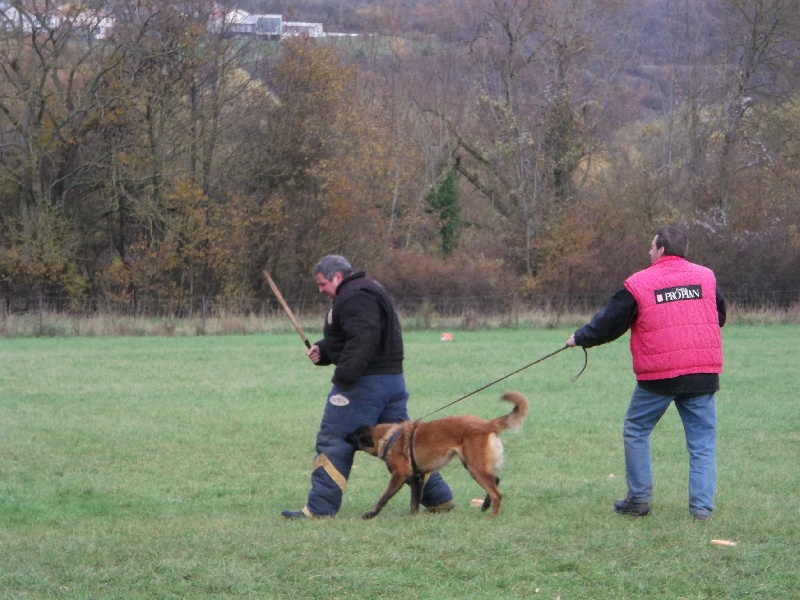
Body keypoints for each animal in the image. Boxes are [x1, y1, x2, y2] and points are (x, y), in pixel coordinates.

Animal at [346, 392, 528, 516]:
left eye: (353, 436)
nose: (343, 436)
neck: (389, 437)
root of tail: (487, 424)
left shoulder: (400, 475)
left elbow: (384, 496)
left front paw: (371, 513)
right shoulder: (417, 478)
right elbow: (414, 502)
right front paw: (413, 517)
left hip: (475, 467)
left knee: (497, 493)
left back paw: (492, 516)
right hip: (473, 465)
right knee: (496, 480)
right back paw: (484, 506)